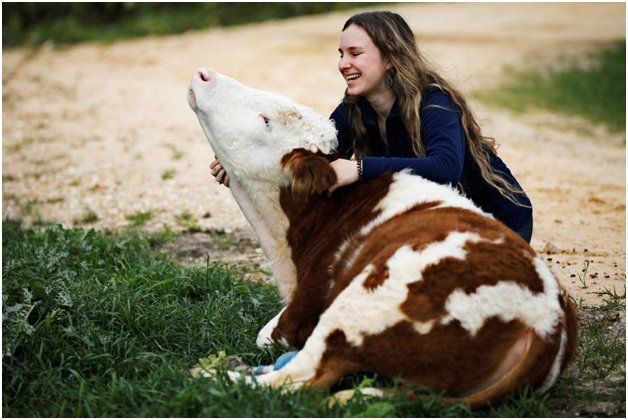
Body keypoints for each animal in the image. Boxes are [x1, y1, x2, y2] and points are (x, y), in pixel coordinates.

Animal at [188, 68, 580, 406]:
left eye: (266, 120)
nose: (204, 74)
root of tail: (548, 322)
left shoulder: (305, 307)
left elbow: (270, 335)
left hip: (364, 302)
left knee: (302, 377)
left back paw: (212, 374)